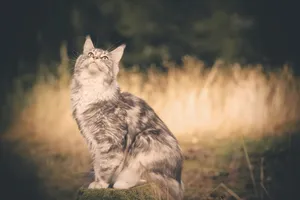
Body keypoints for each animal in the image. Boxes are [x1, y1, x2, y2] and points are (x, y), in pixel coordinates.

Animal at [71, 36, 184, 200]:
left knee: (149, 176)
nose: (96, 58)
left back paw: (123, 182)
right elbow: (97, 164)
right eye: (90, 54)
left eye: (104, 58)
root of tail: (179, 179)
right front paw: (98, 181)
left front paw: (101, 184)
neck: (91, 89)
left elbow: (105, 165)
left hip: (146, 139)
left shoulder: (110, 140)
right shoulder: (91, 139)